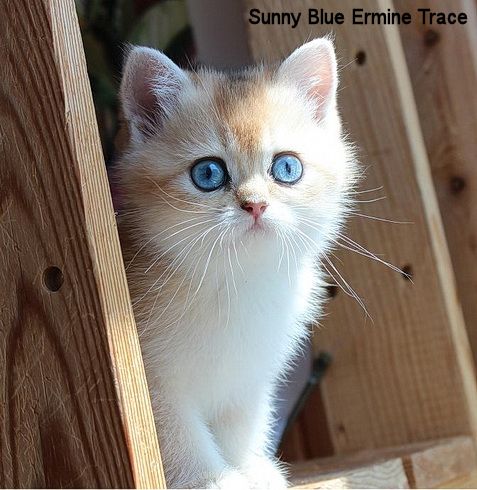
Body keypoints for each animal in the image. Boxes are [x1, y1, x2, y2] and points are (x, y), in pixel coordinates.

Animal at [116, 39, 356, 490]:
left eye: (286, 167)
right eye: (208, 173)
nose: (255, 205)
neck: (236, 283)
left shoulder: (249, 376)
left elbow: (241, 424)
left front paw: (251, 468)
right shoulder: (151, 383)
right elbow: (178, 437)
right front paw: (213, 479)